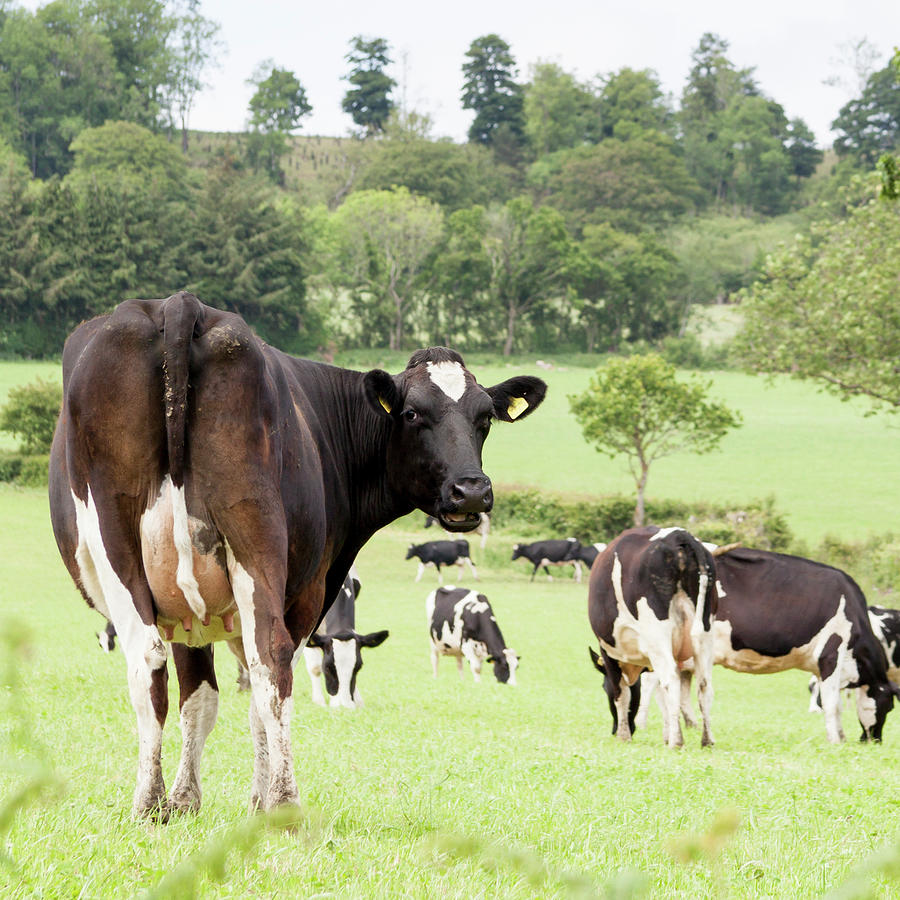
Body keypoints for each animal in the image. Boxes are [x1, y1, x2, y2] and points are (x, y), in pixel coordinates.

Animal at [304, 568, 388, 712]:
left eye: (358, 667)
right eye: (327, 668)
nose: (344, 707)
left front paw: (358, 701)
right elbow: (314, 666)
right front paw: (319, 701)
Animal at [584, 524, 716, 748]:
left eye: (603, 688)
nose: (613, 730)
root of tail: (678, 536)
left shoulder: (609, 653)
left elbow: (622, 693)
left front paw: (624, 735)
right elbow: (660, 696)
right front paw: (666, 733)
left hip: (658, 637)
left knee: (671, 679)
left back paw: (676, 742)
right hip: (705, 635)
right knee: (704, 684)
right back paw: (707, 740)